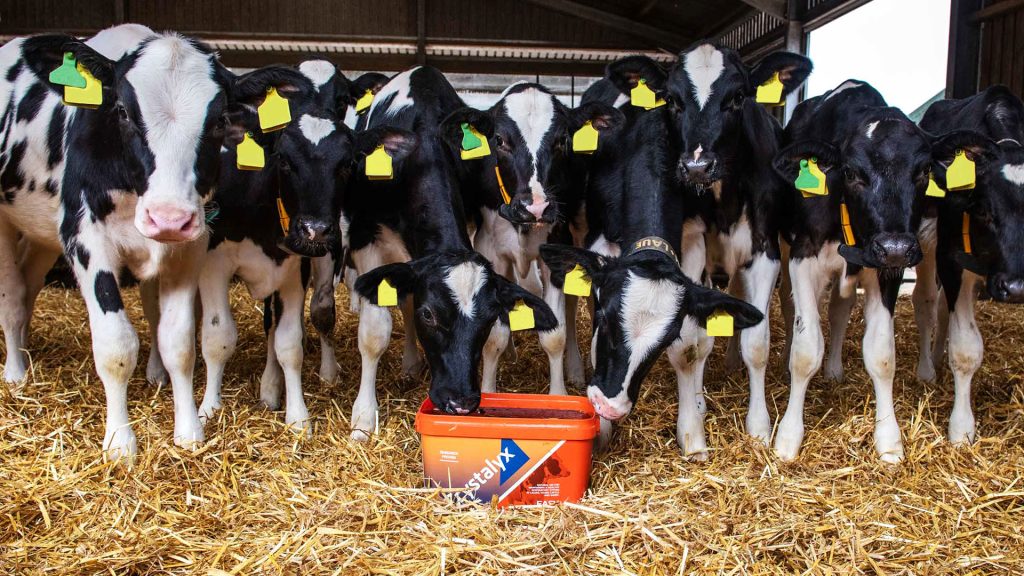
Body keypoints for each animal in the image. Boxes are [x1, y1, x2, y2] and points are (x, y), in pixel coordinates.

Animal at [0, 28, 307, 458]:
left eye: (218, 121)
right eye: (122, 112)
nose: (168, 218)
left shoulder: (190, 247)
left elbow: (179, 341)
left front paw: (189, 430)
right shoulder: (85, 239)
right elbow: (115, 345)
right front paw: (119, 442)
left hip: (42, 231)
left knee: (29, 283)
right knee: (12, 294)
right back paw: (16, 370)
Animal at [343, 66, 558, 439]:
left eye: (488, 317)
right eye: (430, 316)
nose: (460, 402)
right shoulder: (366, 240)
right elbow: (374, 332)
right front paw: (363, 419)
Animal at [541, 56, 765, 458]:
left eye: (664, 341)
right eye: (606, 320)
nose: (610, 406)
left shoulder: (692, 244)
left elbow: (691, 347)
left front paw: (693, 434)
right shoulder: (600, 244)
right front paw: (601, 430)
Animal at [772, 80, 939, 462]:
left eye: (924, 172)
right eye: (850, 172)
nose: (896, 247)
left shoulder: (885, 270)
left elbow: (882, 354)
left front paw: (889, 441)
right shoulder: (803, 256)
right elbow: (805, 350)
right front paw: (788, 437)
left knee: (839, 310)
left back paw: (833, 368)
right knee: (791, 307)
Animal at [919, 85, 1024, 445]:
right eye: (983, 210)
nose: (1016, 288)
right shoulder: (951, 259)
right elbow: (965, 349)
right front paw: (961, 428)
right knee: (929, 303)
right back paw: (929, 366)